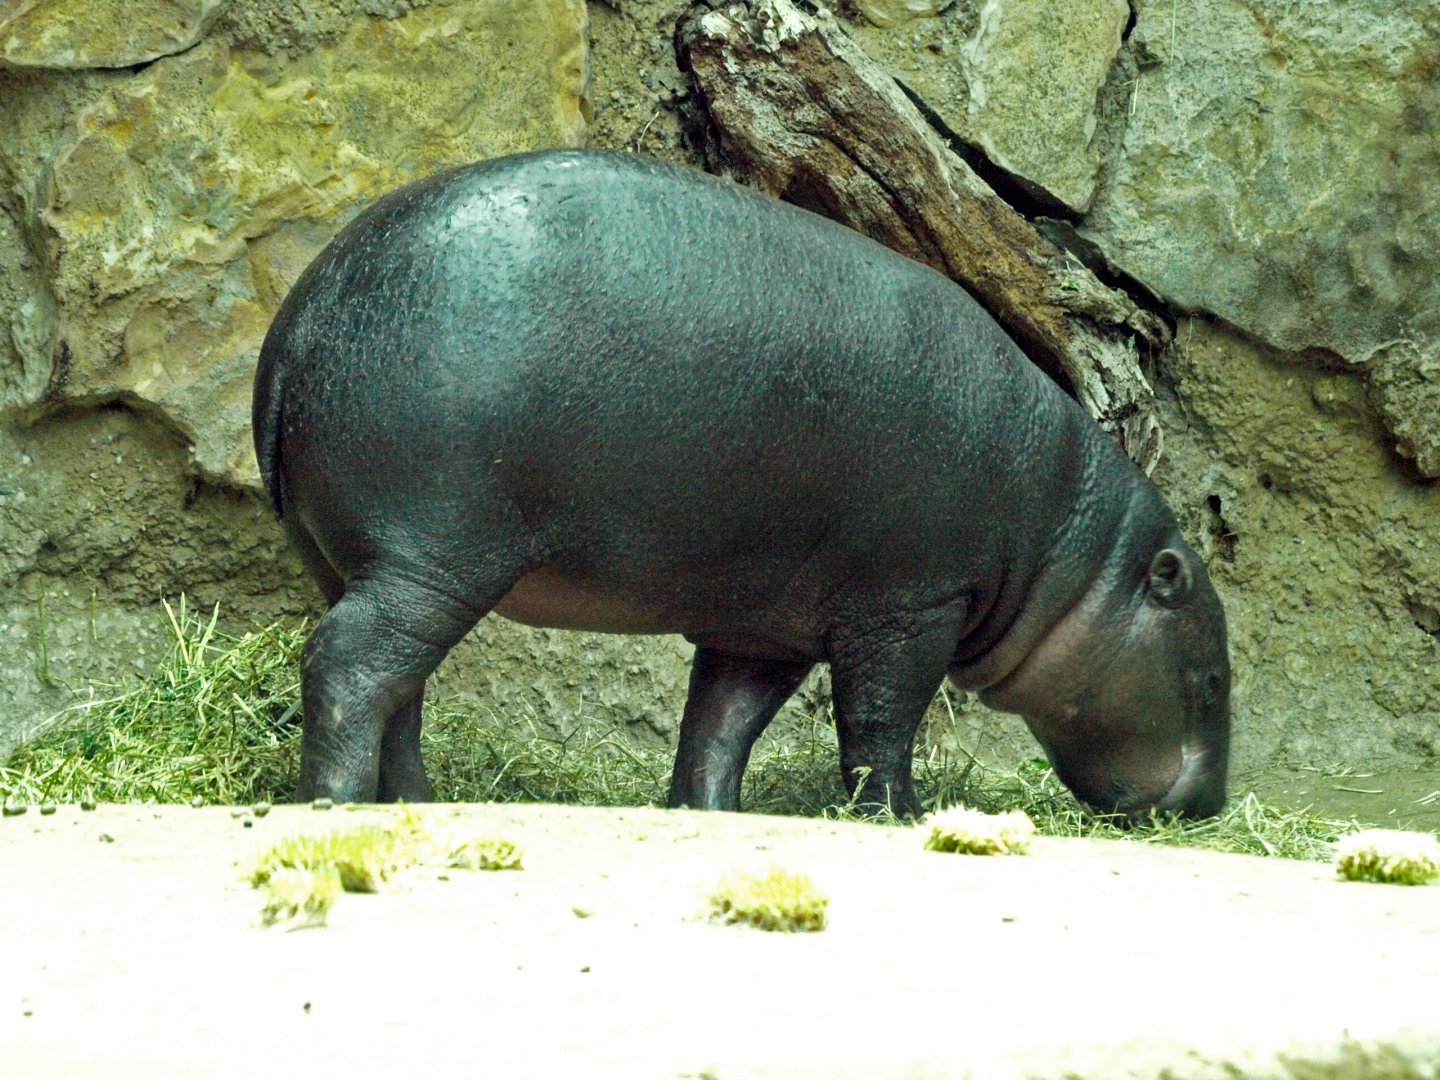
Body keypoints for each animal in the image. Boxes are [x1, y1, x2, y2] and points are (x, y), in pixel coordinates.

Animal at [252, 149, 1230, 818]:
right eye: (1217, 678)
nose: (1210, 806)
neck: (1068, 546)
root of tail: (302, 319)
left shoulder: (764, 625)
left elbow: (721, 726)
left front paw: (707, 812)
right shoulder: (912, 607)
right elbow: (881, 723)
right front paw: (901, 818)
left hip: (369, 562)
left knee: (399, 689)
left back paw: (423, 805)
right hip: (436, 556)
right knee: (350, 665)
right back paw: (336, 806)